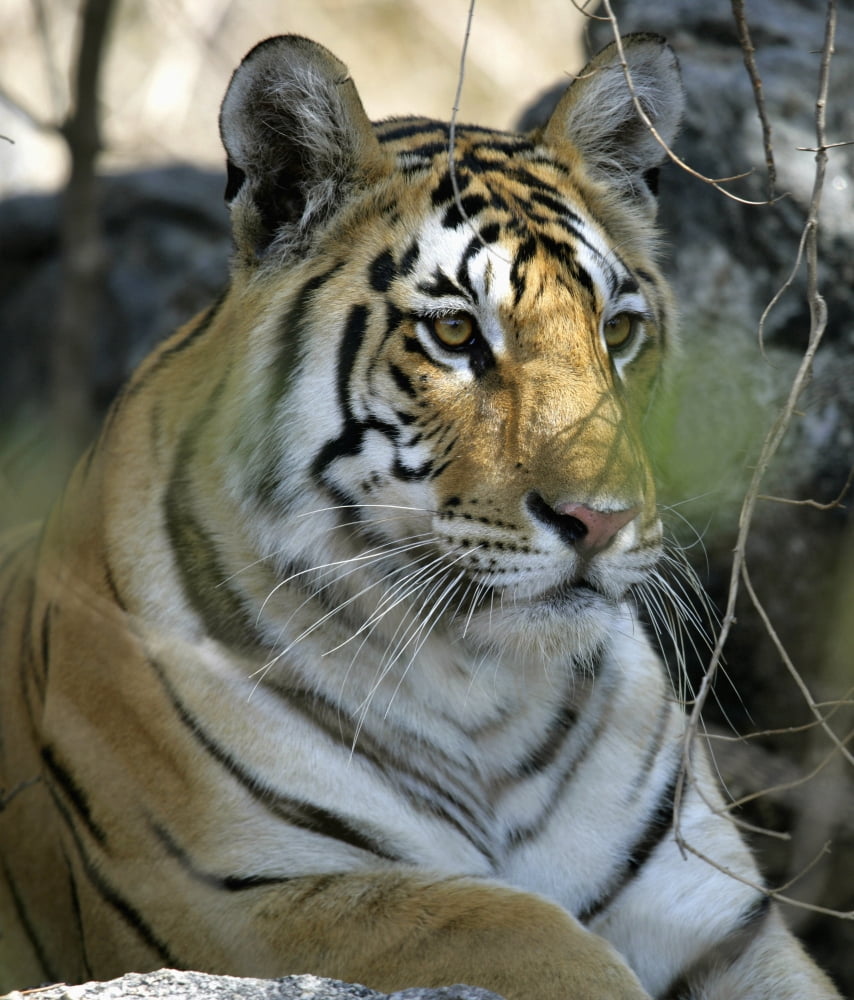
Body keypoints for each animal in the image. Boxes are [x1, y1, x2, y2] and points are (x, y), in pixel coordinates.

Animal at [0, 31, 840, 1000]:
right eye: (454, 333)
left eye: (618, 331)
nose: (600, 521)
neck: (488, 695)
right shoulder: (231, 906)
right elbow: (525, 928)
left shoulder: (724, 922)